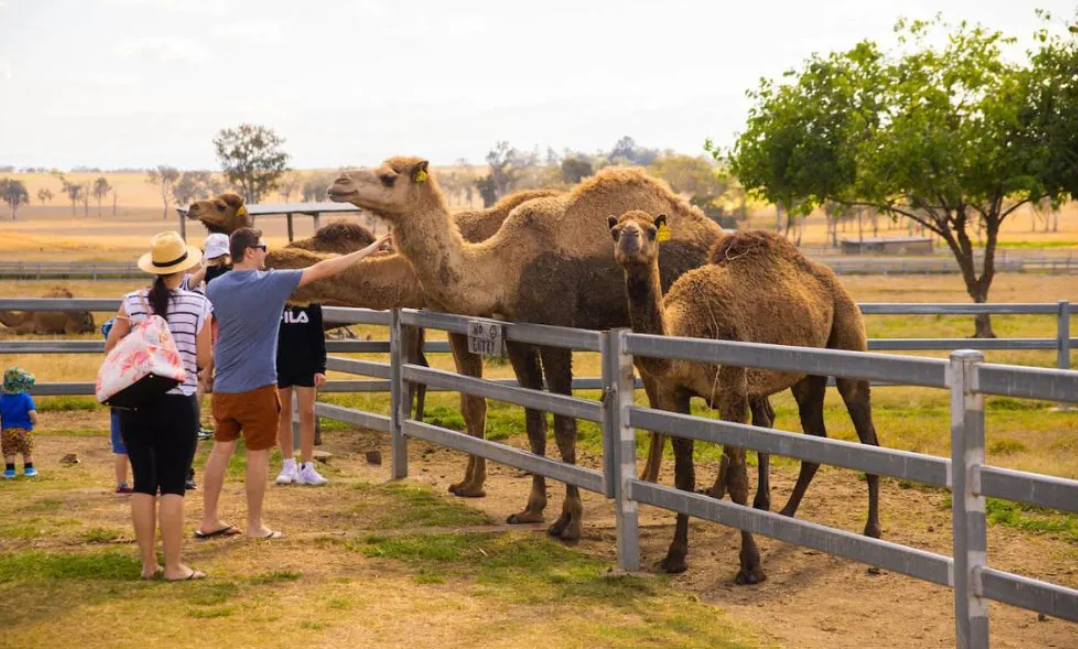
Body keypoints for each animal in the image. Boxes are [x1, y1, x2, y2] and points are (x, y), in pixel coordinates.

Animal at [326, 156, 764, 541]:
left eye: (388, 176)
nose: (337, 183)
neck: (504, 268)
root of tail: (718, 236)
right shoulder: (519, 335)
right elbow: (534, 419)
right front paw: (531, 508)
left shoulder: (557, 334)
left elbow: (564, 423)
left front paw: (569, 522)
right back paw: (693, 489)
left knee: (754, 410)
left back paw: (752, 502)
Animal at [609, 211, 881, 582]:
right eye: (614, 231)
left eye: (652, 230)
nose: (629, 240)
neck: (687, 327)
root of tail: (833, 282)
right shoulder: (675, 396)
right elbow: (683, 478)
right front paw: (675, 557)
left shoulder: (732, 390)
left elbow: (739, 479)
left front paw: (751, 566)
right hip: (806, 375)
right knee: (814, 435)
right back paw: (786, 513)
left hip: (848, 335)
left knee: (868, 434)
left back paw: (872, 533)